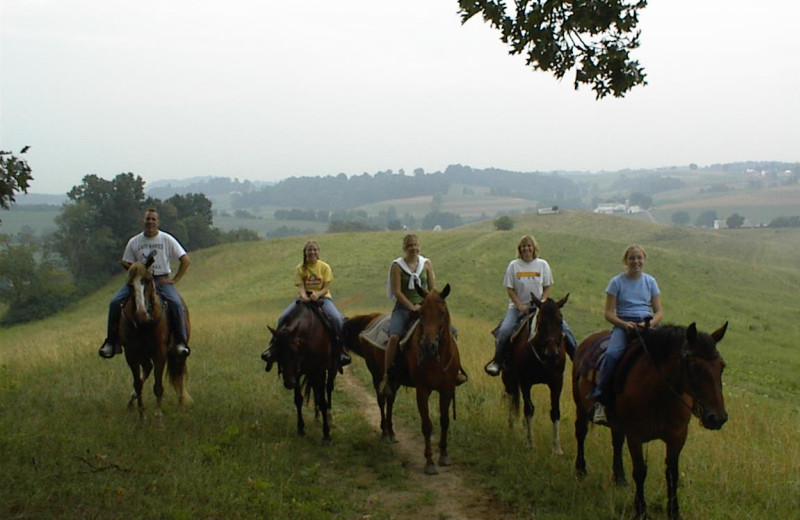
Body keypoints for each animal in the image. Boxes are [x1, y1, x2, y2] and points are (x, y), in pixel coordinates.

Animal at [119, 252, 192, 422]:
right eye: (129, 284)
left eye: (147, 281)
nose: (141, 314)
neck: (144, 325)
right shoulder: (131, 354)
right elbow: (138, 383)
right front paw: (141, 417)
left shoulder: (160, 353)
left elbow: (158, 386)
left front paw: (159, 416)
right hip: (143, 355)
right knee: (147, 369)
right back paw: (131, 402)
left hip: (178, 353)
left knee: (178, 374)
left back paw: (181, 404)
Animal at [266, 300, 334, 442]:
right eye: (278, 353)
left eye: (294, 351)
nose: (288, 383)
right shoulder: (297, 373)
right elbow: (298, 399)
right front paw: (301, 428)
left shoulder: (319, 371)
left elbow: (323, 400)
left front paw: (326, 434)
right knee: (315, 390)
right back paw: (316, 415)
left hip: (330, 370)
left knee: (329, 388)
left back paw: (330, 417)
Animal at [500, 294, 568, 452]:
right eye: (541, 322)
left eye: (560, 321)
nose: (552, 354)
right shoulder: (525, 381)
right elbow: (529, 409)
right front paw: (531, 443)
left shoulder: (557, 381)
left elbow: (555, 410)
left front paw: (557, 447)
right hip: (508, 377)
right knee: (511, 397)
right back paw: (511, 426)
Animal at [572, 320, 728, 520]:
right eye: (694, 365)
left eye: (721, 366)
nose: (718, 418)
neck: (659, 393)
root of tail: (588, 339)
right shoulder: (635, 436)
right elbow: (640, 471)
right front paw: (640, 510)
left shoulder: (677, 437)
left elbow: (672, 474)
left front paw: (674, 512)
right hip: (581, 407)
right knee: (581, 433)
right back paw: (581, 469)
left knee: (617, 442)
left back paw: (619, 478)